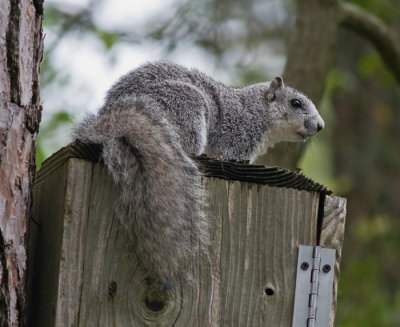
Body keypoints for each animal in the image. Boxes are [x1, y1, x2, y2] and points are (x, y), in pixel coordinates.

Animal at [72, 61, 324, 288]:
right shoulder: (236, 135)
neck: (255, 109)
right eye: (296, 103)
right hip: (185, 107)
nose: (321, 126)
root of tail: (113, 115)